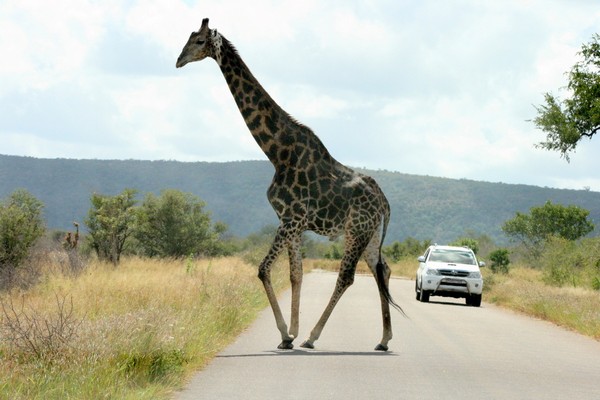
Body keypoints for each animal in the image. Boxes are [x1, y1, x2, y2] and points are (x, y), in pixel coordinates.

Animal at [177, 18, 404, 350]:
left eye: (198, 41)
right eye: (189, 37)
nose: (178, 60)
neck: (277, 152)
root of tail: (385, 202)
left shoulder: (290, 218)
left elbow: (263, 269)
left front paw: (287, 333)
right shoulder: (292, 222)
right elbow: (296, 274)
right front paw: (290, 334)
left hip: (356, 230)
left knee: (347, 276)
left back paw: (314, 336)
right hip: (371, 233)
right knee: (382, 269)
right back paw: (384, 338)